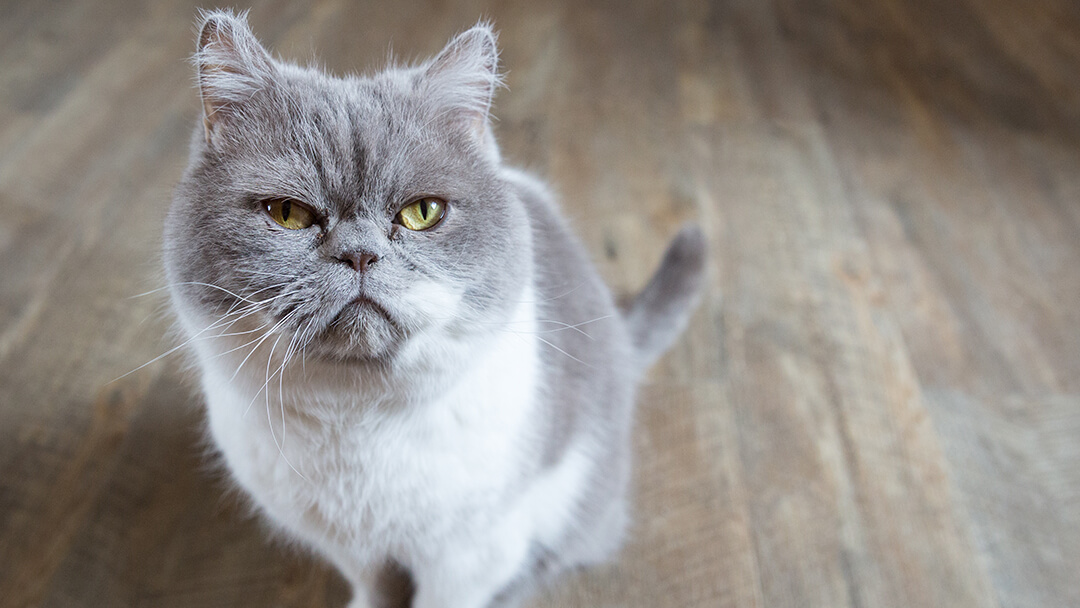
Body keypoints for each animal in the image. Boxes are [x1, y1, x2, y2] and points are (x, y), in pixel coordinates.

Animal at [164, 10, 704, 608]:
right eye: (288, 213)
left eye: (423, 213)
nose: (360, 253)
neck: (356, 423)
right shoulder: (353, 550)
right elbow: (374, 588)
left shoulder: (469, 557)